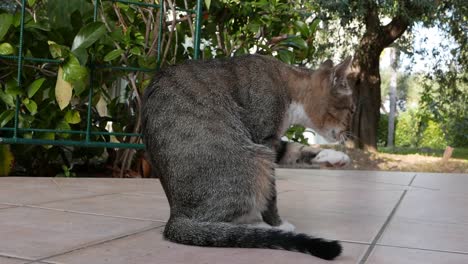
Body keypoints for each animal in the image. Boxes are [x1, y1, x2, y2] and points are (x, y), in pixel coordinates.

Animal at [142, 54, 354, 260]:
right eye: (351, 109)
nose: (349, 135)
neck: (287, 84)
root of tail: (176, 215)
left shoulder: (272, 143)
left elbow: (296, 149)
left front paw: (336, 157)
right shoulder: (264, 138)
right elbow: (271, 195)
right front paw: (278, 224)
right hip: (255, 160)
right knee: (222, 224)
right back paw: (262, 229)